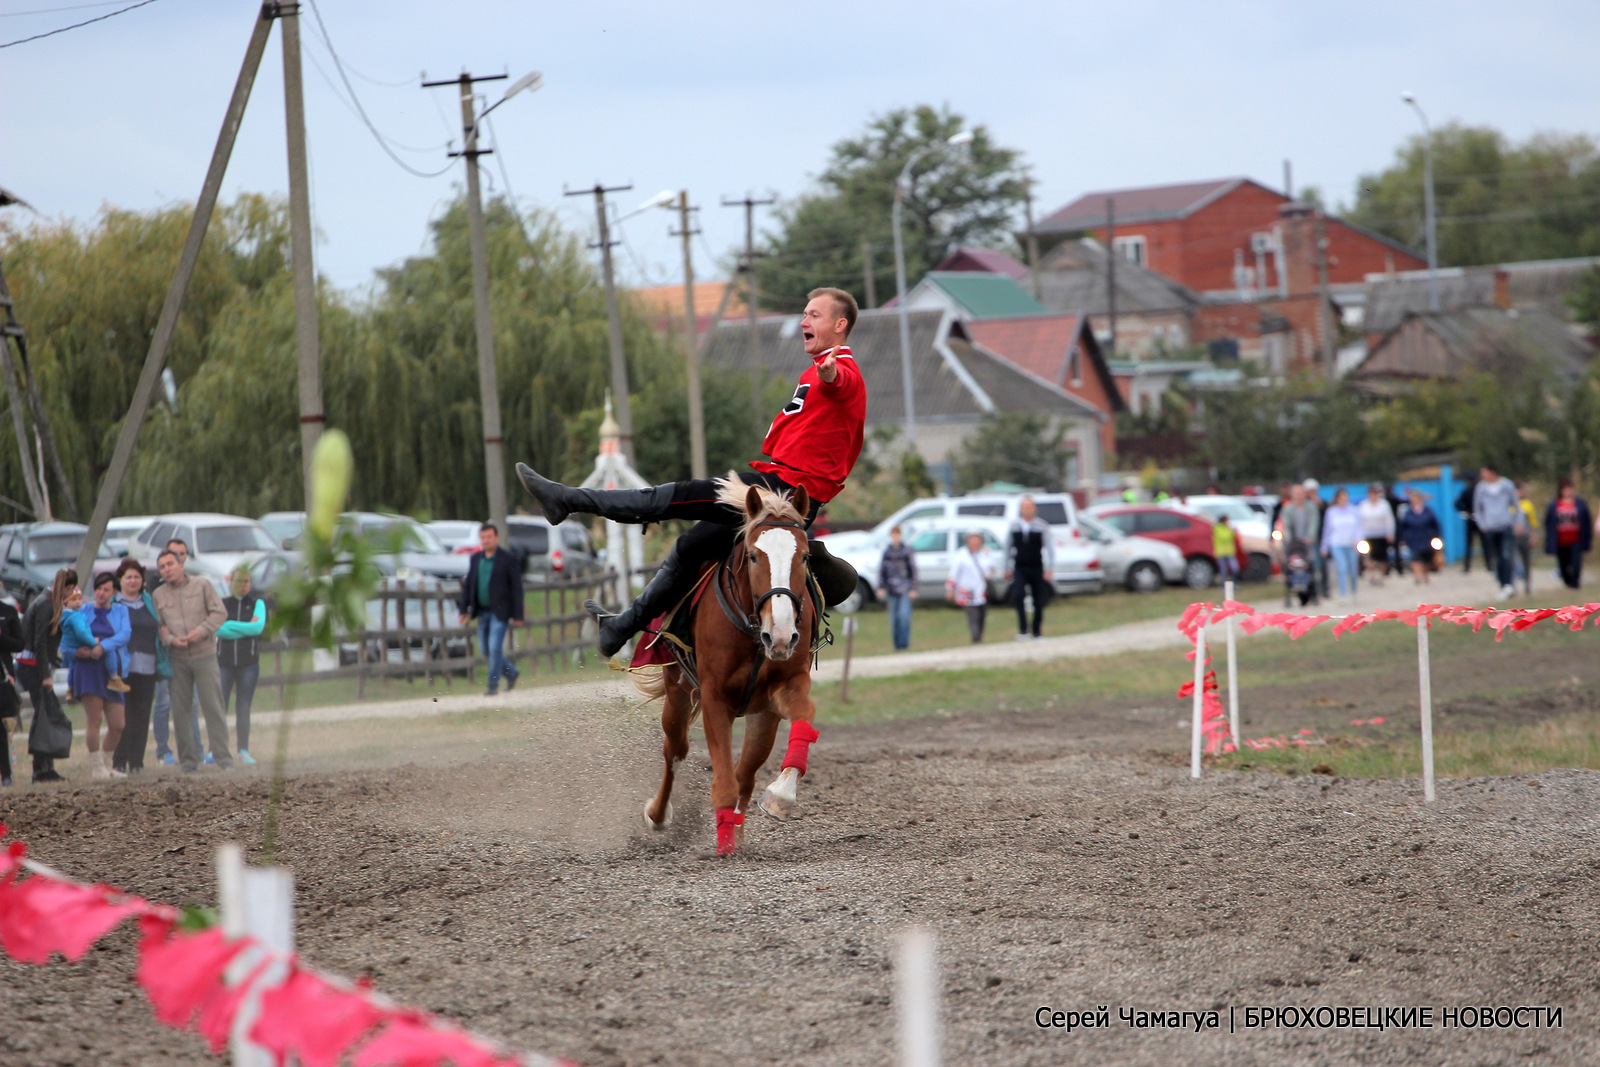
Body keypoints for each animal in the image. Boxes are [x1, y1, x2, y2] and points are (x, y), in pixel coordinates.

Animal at [633, 479, 819, 857]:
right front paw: (724, 844)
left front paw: (781, 796)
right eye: (753, 555)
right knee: (675, 752)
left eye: (804, 556)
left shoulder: (787, 686)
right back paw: (658, 815)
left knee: (745, 772)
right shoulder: (715, 698)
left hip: (762, 716)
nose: (781, 634)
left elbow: (804, 717)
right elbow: (722, 780)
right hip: (677, 693)